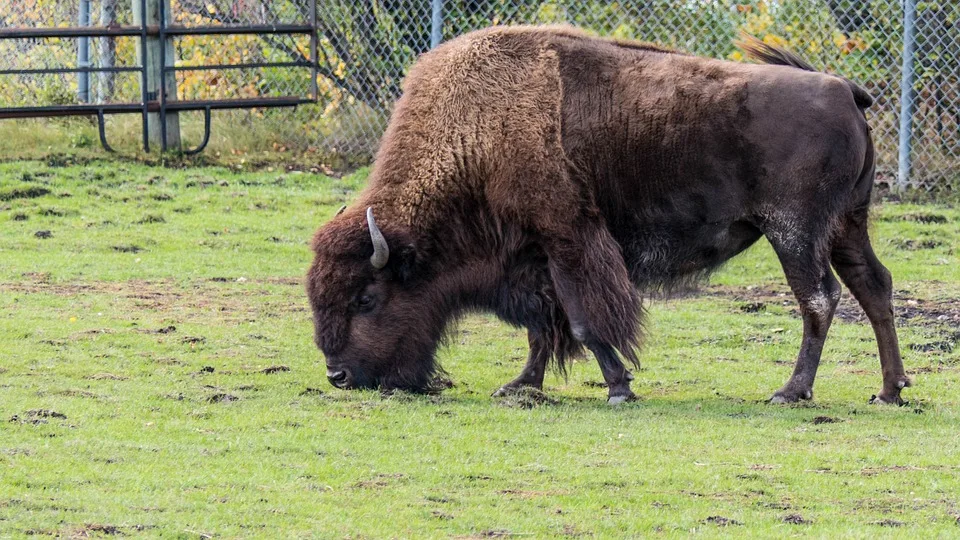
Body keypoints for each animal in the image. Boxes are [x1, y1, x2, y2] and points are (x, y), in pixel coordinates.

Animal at [306, 25, 908, 404]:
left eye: (366, 298)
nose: (338, 375)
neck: (477, 132)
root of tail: (842, 89)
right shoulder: (536, 255)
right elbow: (542, 327)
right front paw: (521, 386)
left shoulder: (568, 238)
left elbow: (580, 319)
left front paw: (619, 387)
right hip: (846, 226)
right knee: (874, 286)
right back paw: (890, 391)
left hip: (794, 233)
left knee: (820, 299)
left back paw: (790, 391)